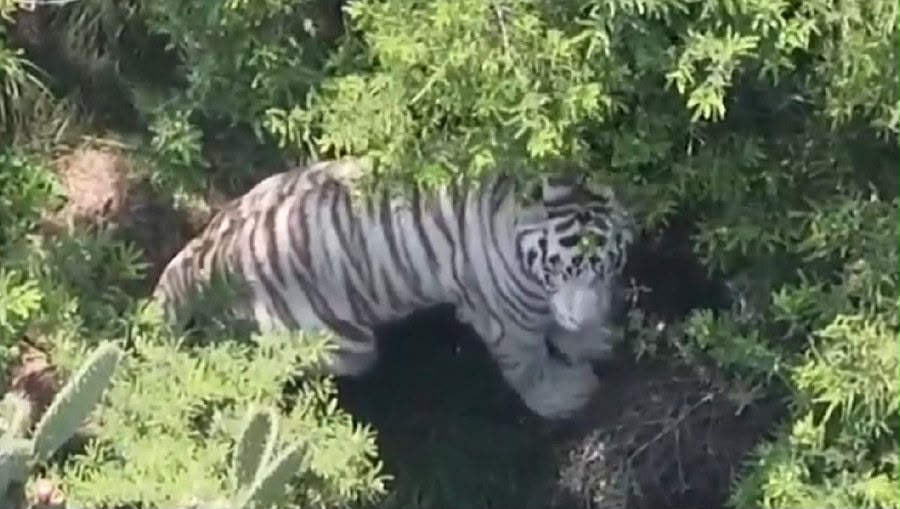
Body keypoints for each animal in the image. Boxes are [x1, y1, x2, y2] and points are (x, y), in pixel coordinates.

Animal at [151, 158, 635, 420]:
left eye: (606, 264)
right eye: (558, 267)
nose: (584, 315)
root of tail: (206, 250)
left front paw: (592, 337)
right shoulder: (506, 316)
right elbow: (529, 364)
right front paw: (565, 395)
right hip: (341, 345)